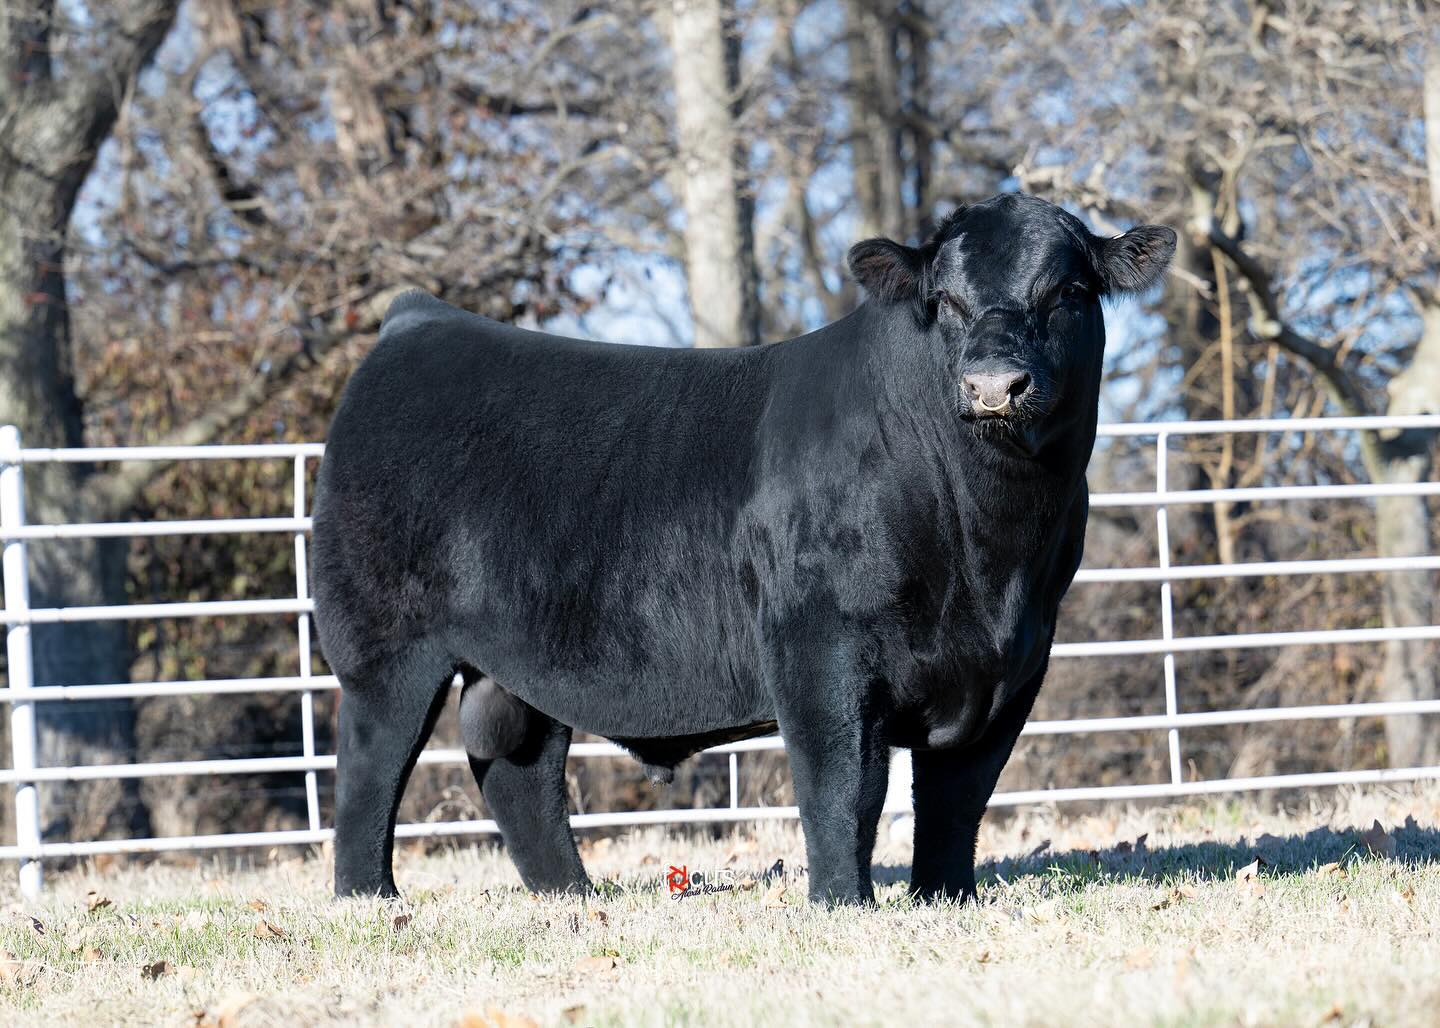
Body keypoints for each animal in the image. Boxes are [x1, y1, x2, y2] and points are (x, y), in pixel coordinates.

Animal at [311, 192, 1175, 905]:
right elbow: (841, 786)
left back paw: (572, 898)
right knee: (368, 766)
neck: (988, 561)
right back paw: (370, 900)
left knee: (518, 768)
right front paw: (843, 905)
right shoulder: (817, 644)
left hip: (517, 661)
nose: (994, 386)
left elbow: (958, 798)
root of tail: (419, 321)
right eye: (945, 301)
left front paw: (945, 899)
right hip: (384, 648)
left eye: (1068, 293)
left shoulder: (1015, 662)